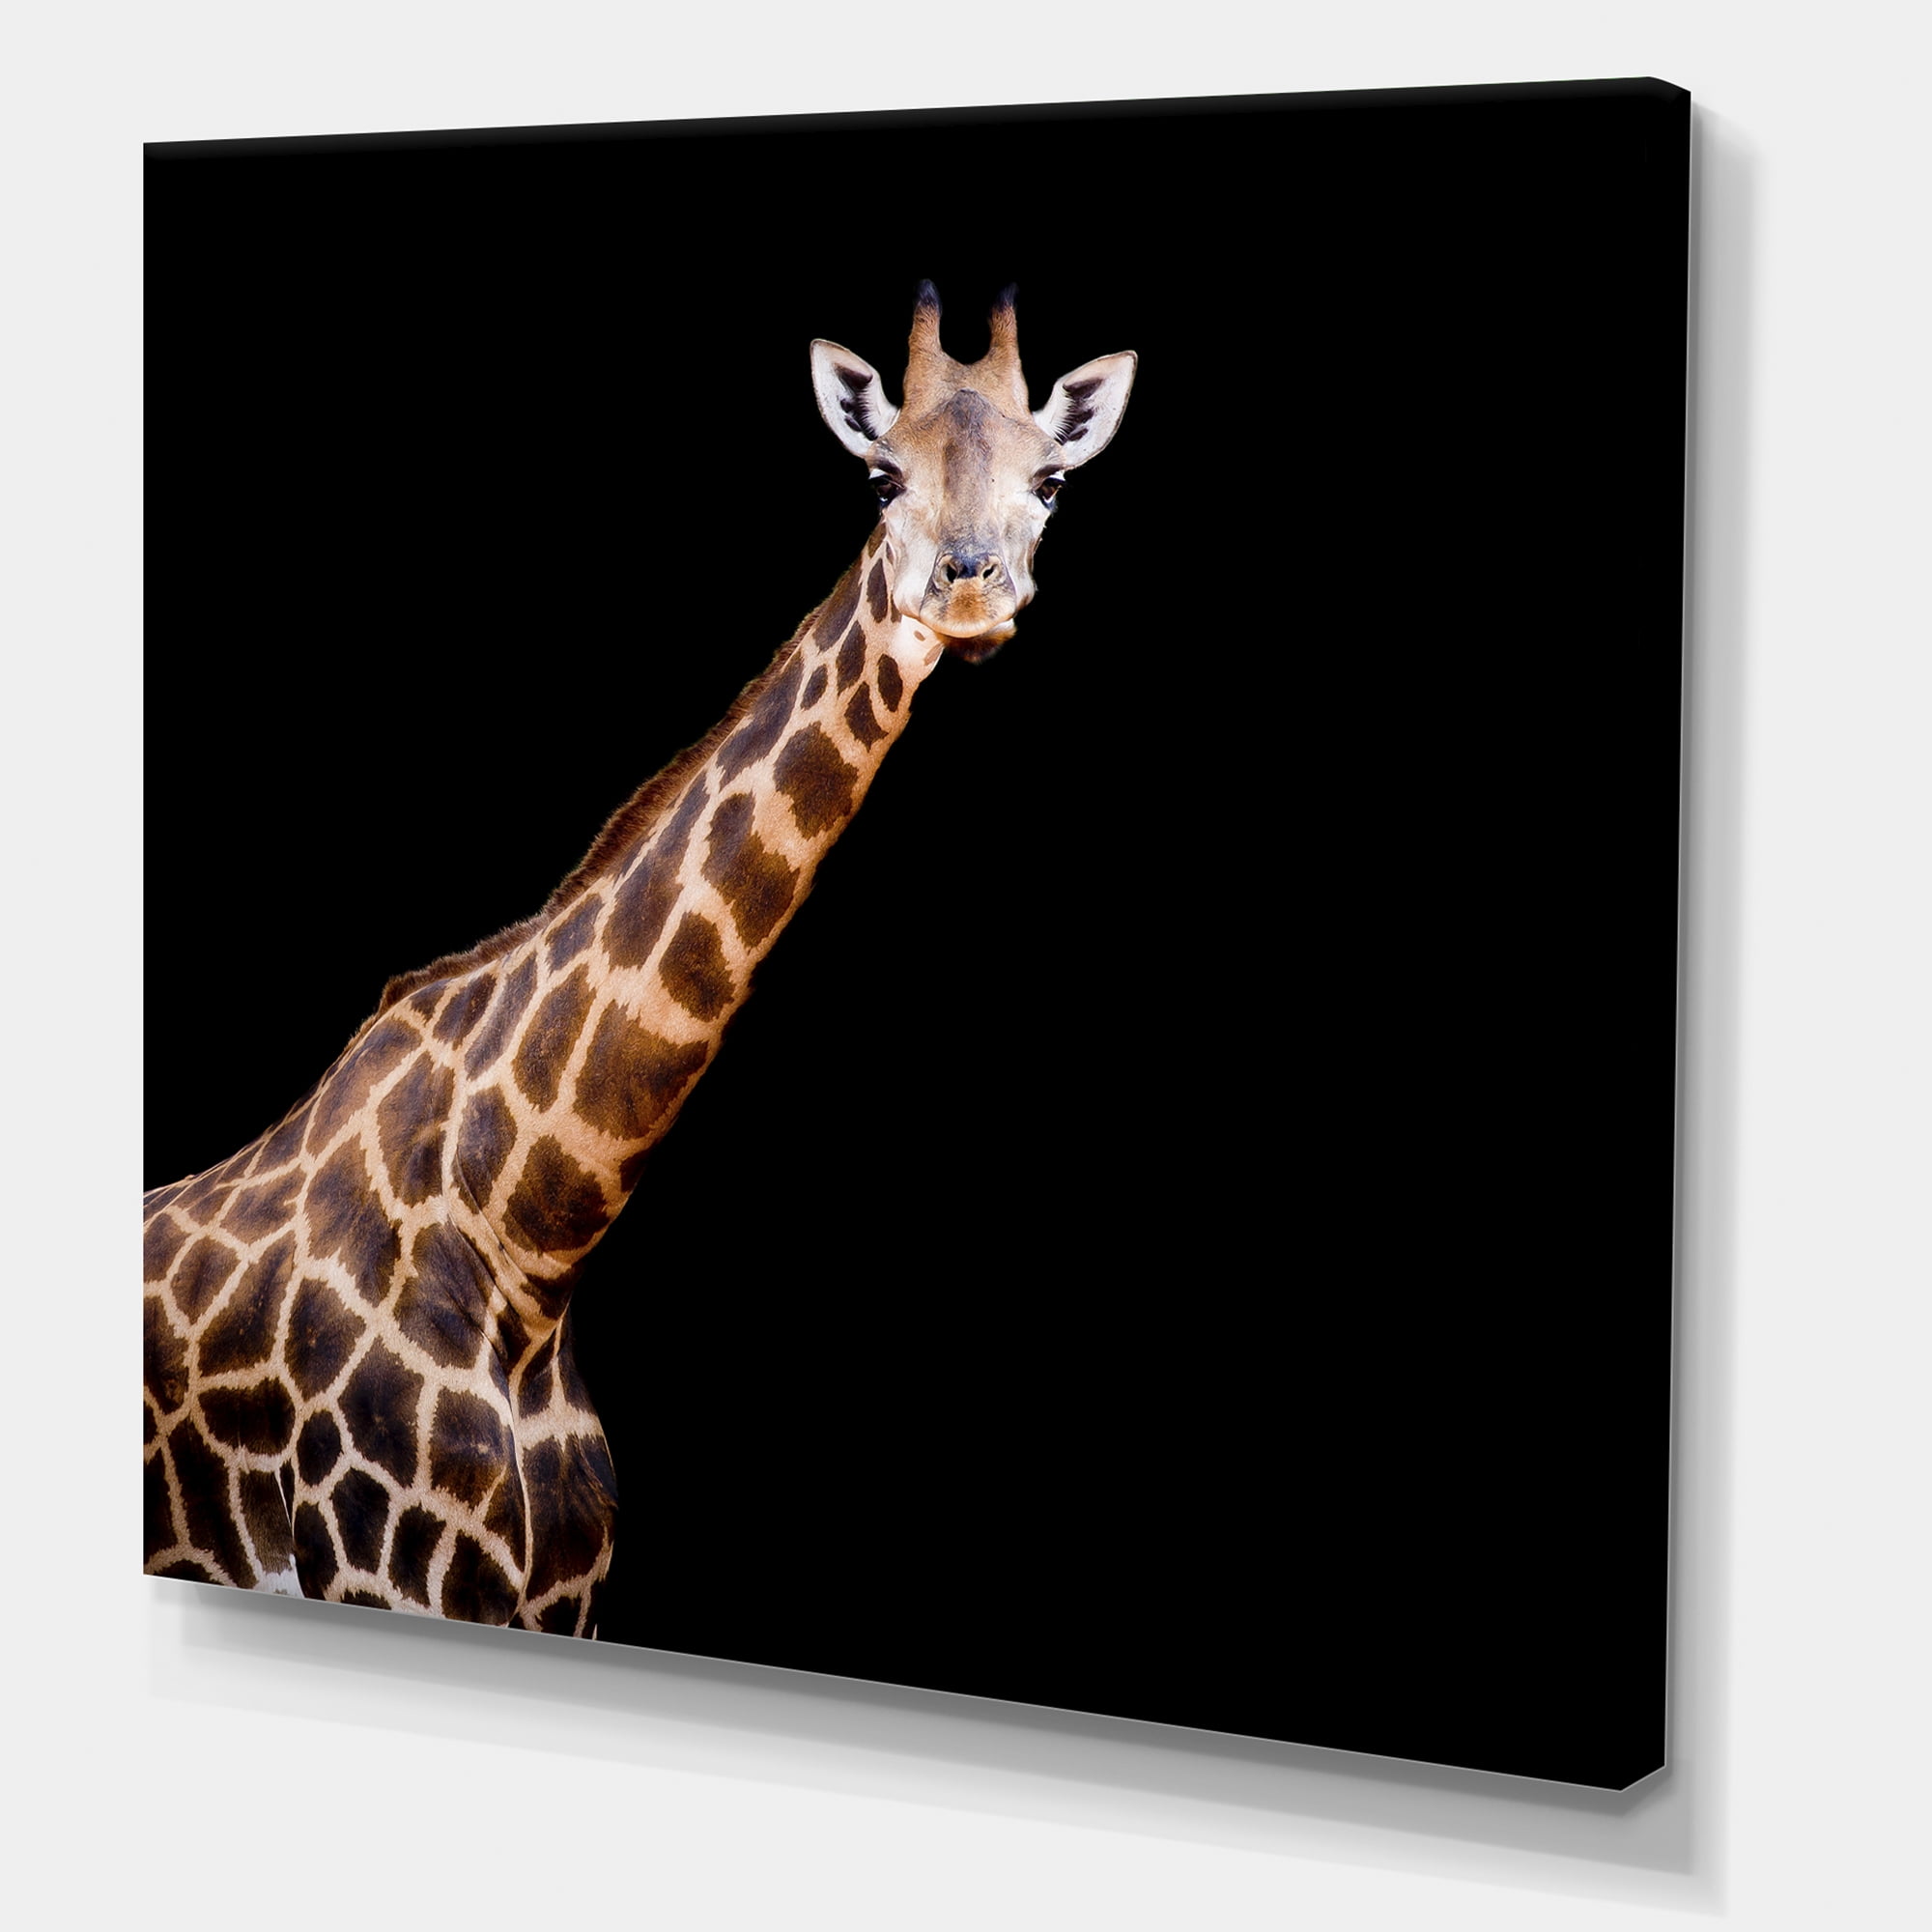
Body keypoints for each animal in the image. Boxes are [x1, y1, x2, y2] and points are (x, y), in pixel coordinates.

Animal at [143, 283, 1136, 1635]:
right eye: (879, 476)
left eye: (1051, 481)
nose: (970, 588)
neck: (527, 1242)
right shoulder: (374, 1573)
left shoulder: (566, 1601)